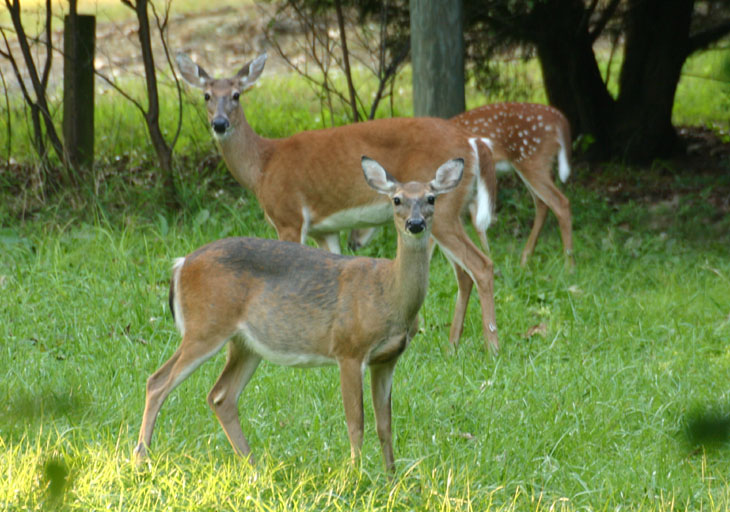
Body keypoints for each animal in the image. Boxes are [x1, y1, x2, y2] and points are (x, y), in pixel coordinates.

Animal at [134, 157, 464, 472]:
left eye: (431, 198)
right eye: (396, 199)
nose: (415, 223)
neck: (389, 295)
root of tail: (180, 264)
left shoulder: (387, 359)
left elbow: (386, 426)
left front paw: (392, 478)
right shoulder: (349, 348)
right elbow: (356, 423)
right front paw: (356, 476)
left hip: (245, 344)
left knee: (221, 396)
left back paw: (255, 466)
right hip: (205, 326)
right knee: (157, 382)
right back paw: (141, 459)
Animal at [173, 54, 498, 354]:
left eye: (237, 95)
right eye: (206, 95)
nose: (219, 123)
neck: (263, 166)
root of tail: (473, 142)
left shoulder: (288, 215)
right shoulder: (323, 229)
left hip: (442, 211)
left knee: (482, 265)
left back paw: (491, 346)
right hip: (449, 213)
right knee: (464, 274)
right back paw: (453, 345)